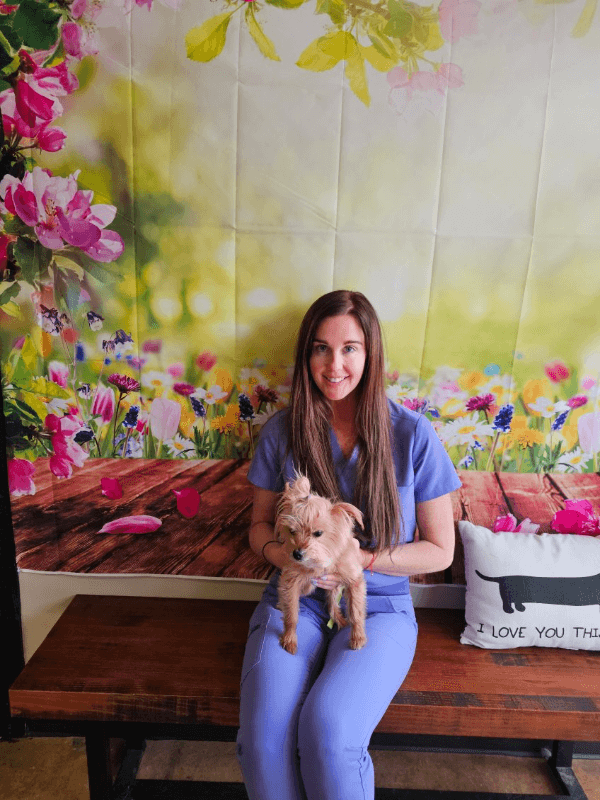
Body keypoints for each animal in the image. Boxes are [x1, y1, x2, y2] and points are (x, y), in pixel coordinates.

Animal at [274, 474, 367, 654]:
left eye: (318, 533)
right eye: (292, 531)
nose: (296, 554)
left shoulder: (354, 580)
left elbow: (356, 611)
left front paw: (358, 636)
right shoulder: (291, 582)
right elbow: (291, 614)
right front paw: (289, 638)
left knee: (332, 601)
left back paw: (339, 619)